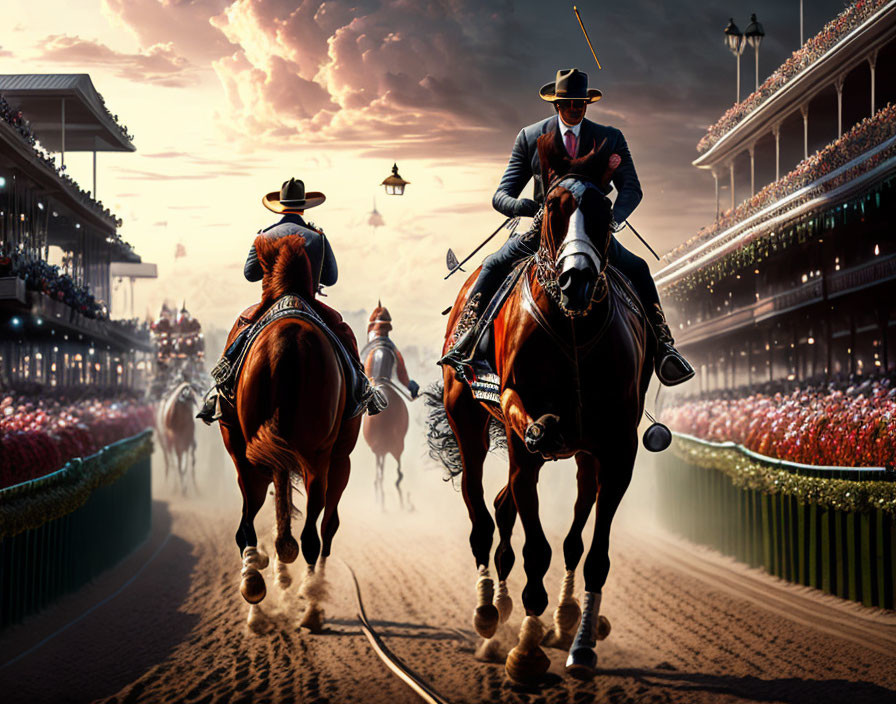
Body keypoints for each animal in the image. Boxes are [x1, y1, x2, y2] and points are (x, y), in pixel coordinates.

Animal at [218, 232, 360, 632]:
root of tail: (285, 339)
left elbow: (282, 507)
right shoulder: (340, 460)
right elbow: (326, 526)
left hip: (246, 454)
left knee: (247, 525)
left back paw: (256, 595)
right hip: (318, 456)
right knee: (314, 533)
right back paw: (310, 607)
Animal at [440, 135, 652, 684]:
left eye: (603, 207)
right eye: (553, 206)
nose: (577, 279)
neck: (572, 327)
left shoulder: (616, 449)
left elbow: (593, 552)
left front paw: (579, 644)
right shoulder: (521, 433)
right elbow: (535, 546)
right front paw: (528, 650)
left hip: (585, 457)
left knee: (521, 512)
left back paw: (555, 615)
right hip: (466, 419)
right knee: (479, 511)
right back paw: (488, 610)